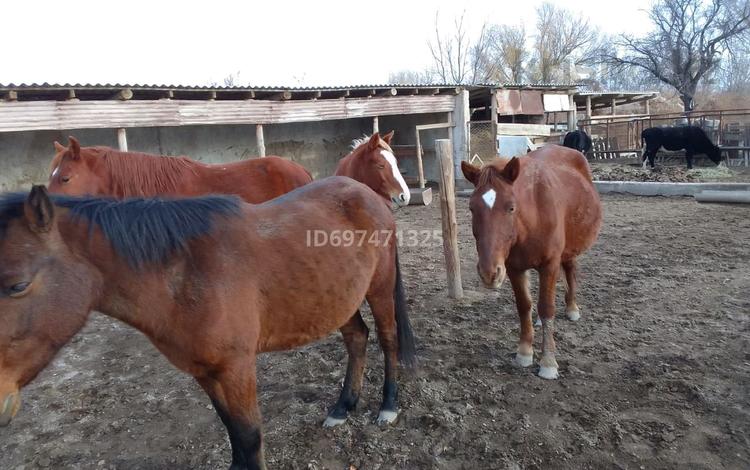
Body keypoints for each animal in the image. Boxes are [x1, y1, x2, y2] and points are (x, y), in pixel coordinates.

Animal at [0, 178, 418, 468]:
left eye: (17, 285)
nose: (1, 399)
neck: (186, 273)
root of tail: (368, 193)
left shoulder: (236, 368)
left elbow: (249, 437)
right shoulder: (204, 370)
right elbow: (231, 431)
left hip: (379, 288)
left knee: (388, 339)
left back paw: (388, 406)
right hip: (338, 299)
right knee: (357, 338)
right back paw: (343, 407)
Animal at [462, 145, 604, 380]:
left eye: (511, 207)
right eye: (472, 208)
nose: (489, 273)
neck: (533, 215)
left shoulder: (549, 265)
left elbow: (547, 307)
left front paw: (548, 362)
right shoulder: (513, 268)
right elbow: (524, 305)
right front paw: (525, 351)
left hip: (569, 252)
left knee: (570, 271)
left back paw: (572, 308)